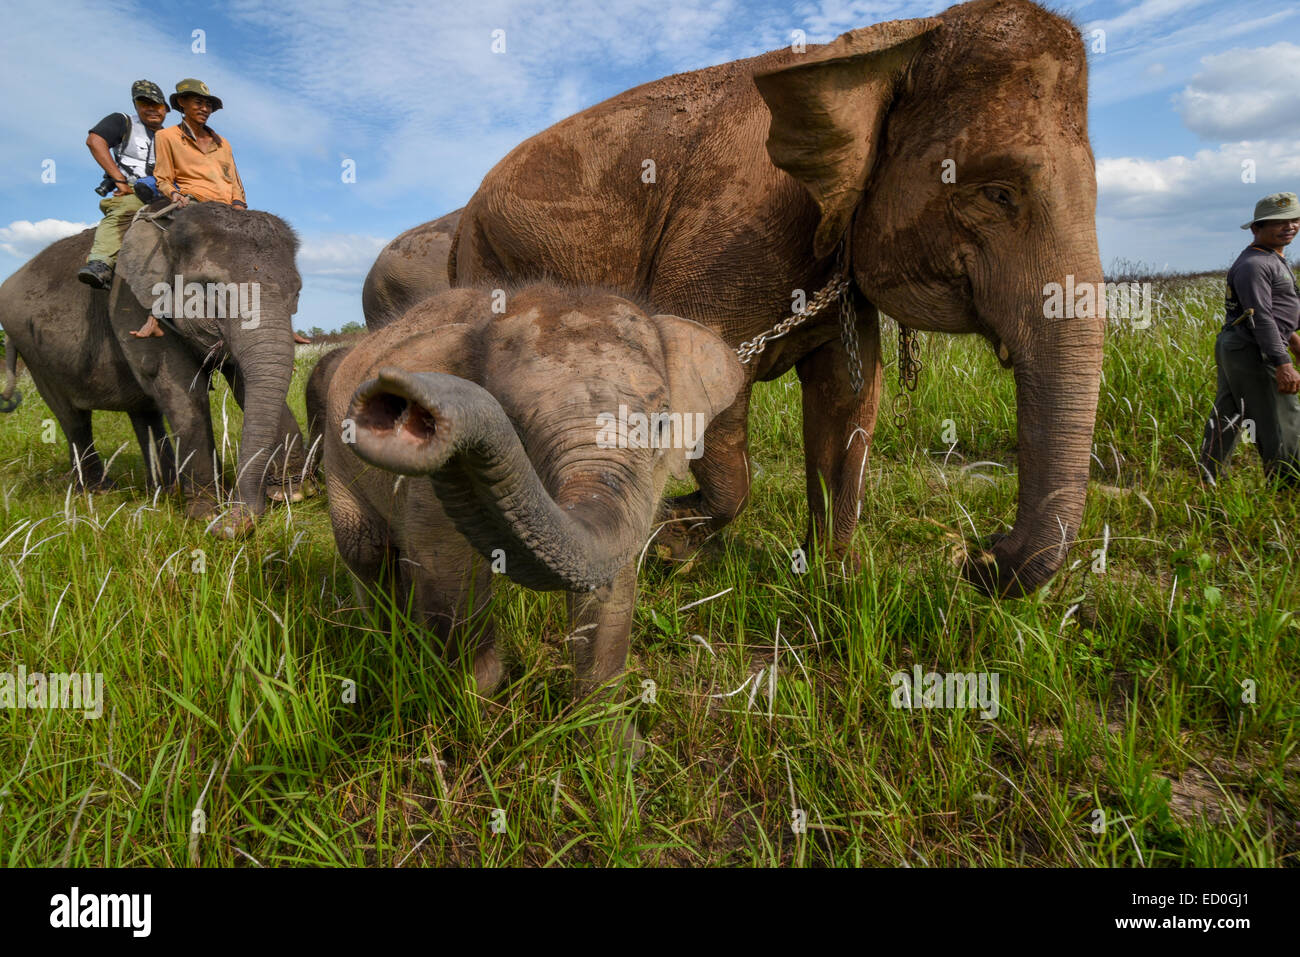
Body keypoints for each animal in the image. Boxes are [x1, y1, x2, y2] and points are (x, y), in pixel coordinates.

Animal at [0, 201, 309, 530]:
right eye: (210, 288)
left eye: (297, 290)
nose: (236, 519)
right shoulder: (132, 304)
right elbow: (184, 392)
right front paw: (206, 516)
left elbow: (243, 384)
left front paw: (293, 494)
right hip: (33, 352)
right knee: (73, 418)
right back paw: (99, 491)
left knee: (144, 413)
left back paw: (165, 489)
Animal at [313, 283, 743, 748]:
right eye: (513, 424)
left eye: (662, 423)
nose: (403, 401)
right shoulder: (425, 494)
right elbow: (449, 576)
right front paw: (479, 723)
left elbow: (613, 583)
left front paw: (615, 748)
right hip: (337, 456)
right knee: (367, 552)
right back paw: (389, 650)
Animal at [452, 0, 1102, 598]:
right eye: (999, 194)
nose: (978, 554)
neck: (893, 45)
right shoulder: (729, 234)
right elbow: (714, 382)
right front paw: (670, 540)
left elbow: (849, 398)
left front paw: (833, 580)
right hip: (490, 258)